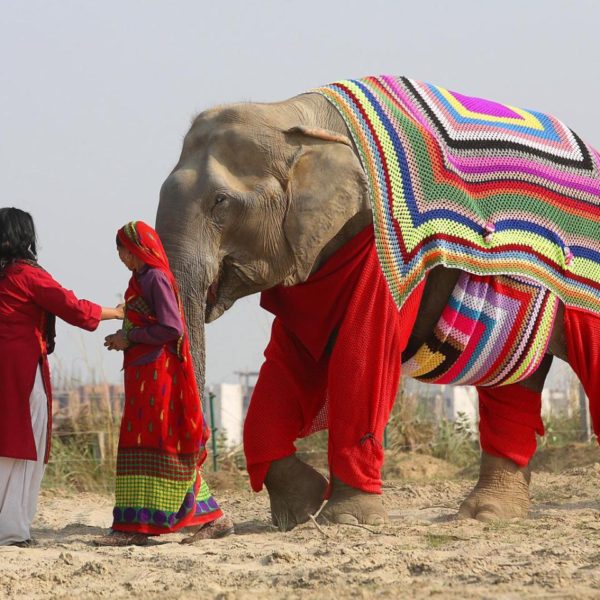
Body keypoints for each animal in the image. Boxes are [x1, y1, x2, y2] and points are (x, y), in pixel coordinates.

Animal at [156, 75, 600, 528]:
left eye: (220, 202)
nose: (213, 525)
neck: (291, 113)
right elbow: (290, 356)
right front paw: (303, 510)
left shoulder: (381, 243)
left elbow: (362, 348)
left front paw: (347, 519)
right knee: (512, 383)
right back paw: (487, 515)